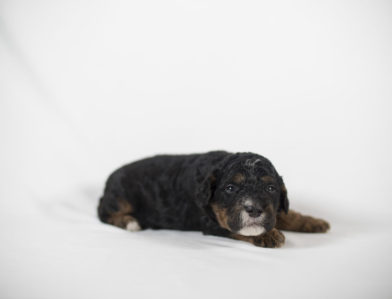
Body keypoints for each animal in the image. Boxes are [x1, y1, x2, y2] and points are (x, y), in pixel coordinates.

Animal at [96, 152, 330, 248]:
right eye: (230, 188)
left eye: (271, 188)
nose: (254, 209)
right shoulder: (213, 222)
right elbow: (241, 231)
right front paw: (268, 235)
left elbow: (286, 214)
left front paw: (315, 222)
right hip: (120, 197)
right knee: (104, 214)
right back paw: (130, 222)